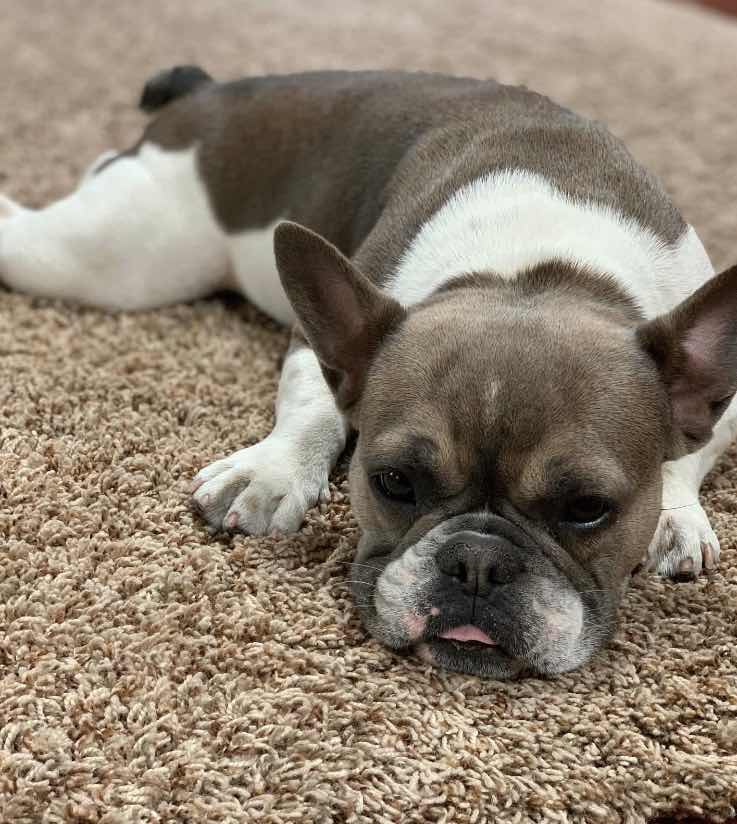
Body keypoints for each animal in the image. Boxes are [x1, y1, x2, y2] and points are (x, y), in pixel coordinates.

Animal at [2, 67, 735, 679]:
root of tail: (208, 92)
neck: (537, 274)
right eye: (394, 483)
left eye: (587, 509)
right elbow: (315, 408)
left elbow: (686, 455)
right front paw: (270, 471)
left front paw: (675, 516)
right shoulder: (325, 337)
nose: (477, 562)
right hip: (110, 260)